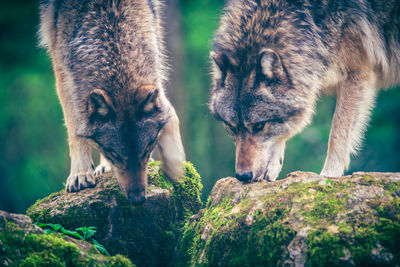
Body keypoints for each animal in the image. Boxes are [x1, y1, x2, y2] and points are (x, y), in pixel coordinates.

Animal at [39, 0, 186, 205]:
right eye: (115, 154)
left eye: (146, 150)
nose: (138, 199)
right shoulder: (63, 68)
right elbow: (75, 129)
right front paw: (80, 173)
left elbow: (168, 112)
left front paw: (174, 164)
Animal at [209, 0, 400, 182]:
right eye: (231, 127)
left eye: (259, 125)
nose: (242, 176)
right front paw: (272, 169)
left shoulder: (357, 73)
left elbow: (337, 135)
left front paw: (328, 175)